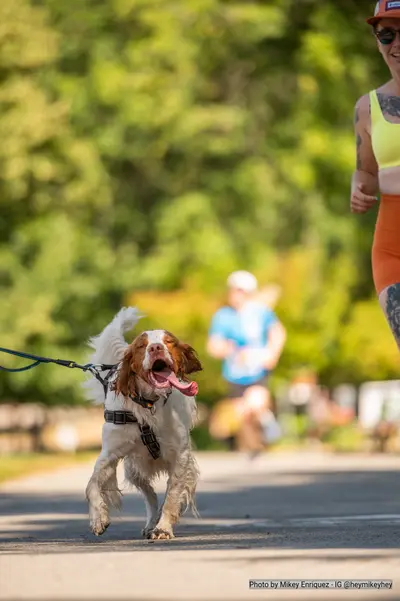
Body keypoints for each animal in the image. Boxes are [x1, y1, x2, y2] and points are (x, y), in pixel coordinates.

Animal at [85, 308, 203, 536]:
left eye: (169, 341)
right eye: (142, 345)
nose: (156, 348)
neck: (148, 404)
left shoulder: (180, 456)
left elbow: (172, 495)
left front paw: (163, 528)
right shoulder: (109, 454)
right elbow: (91, 485)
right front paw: (98, 518)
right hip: (134, 470)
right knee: (150, 496)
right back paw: (150, 523)